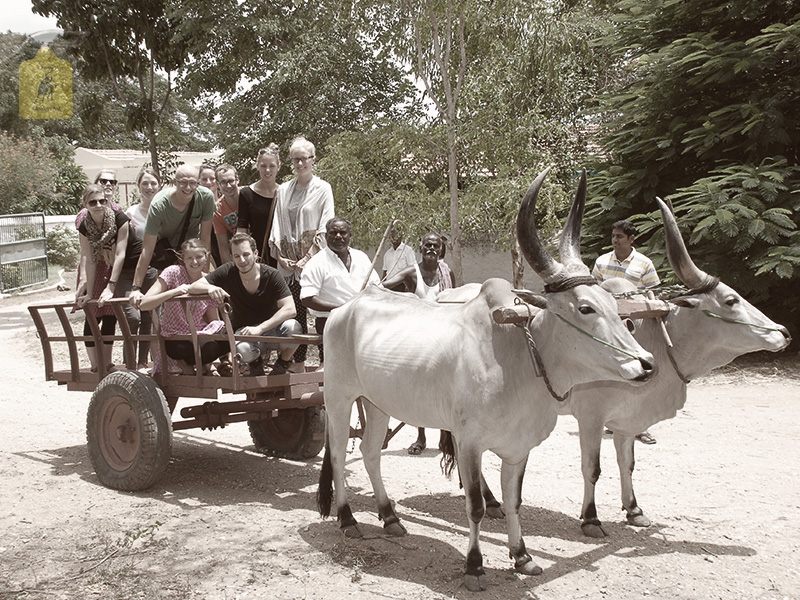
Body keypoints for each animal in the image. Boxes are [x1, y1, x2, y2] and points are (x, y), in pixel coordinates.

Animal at [314, 169, 656, 592]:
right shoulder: (469, 443)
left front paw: (522, 556)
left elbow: (513, 501)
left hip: (377, 403)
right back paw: (348, 519)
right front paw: (474, 567)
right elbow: (475, 507)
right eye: (586, 308)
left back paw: (389, 516)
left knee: (370, 452)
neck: (520, 360)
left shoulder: (518, 448)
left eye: (614, 305)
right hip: (339, 398)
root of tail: (345, 308)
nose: (646, 364)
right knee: (338, 453)